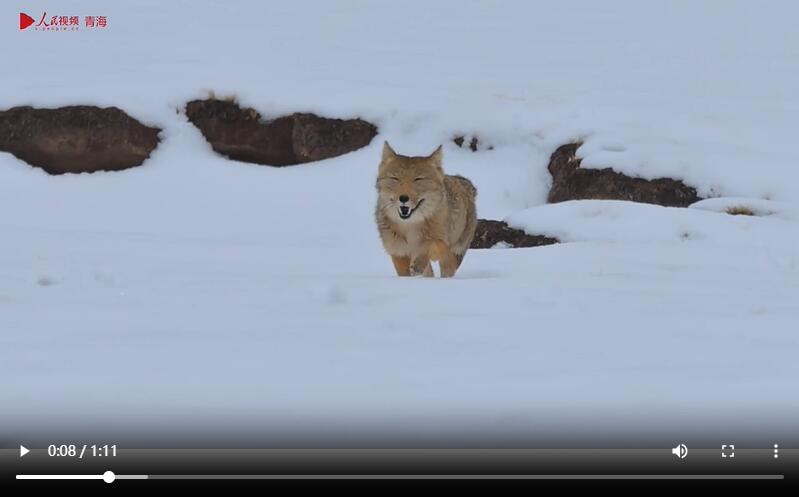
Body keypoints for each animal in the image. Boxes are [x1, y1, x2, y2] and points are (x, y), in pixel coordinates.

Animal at [374, 141, 476, 278]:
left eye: (418, 179)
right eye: (395, 178)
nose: (403, 198)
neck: (410, 228)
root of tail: (463, 181)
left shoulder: (441, 243)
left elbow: (428, 245)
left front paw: (418, 263)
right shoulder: (398, 253)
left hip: (453, 257)